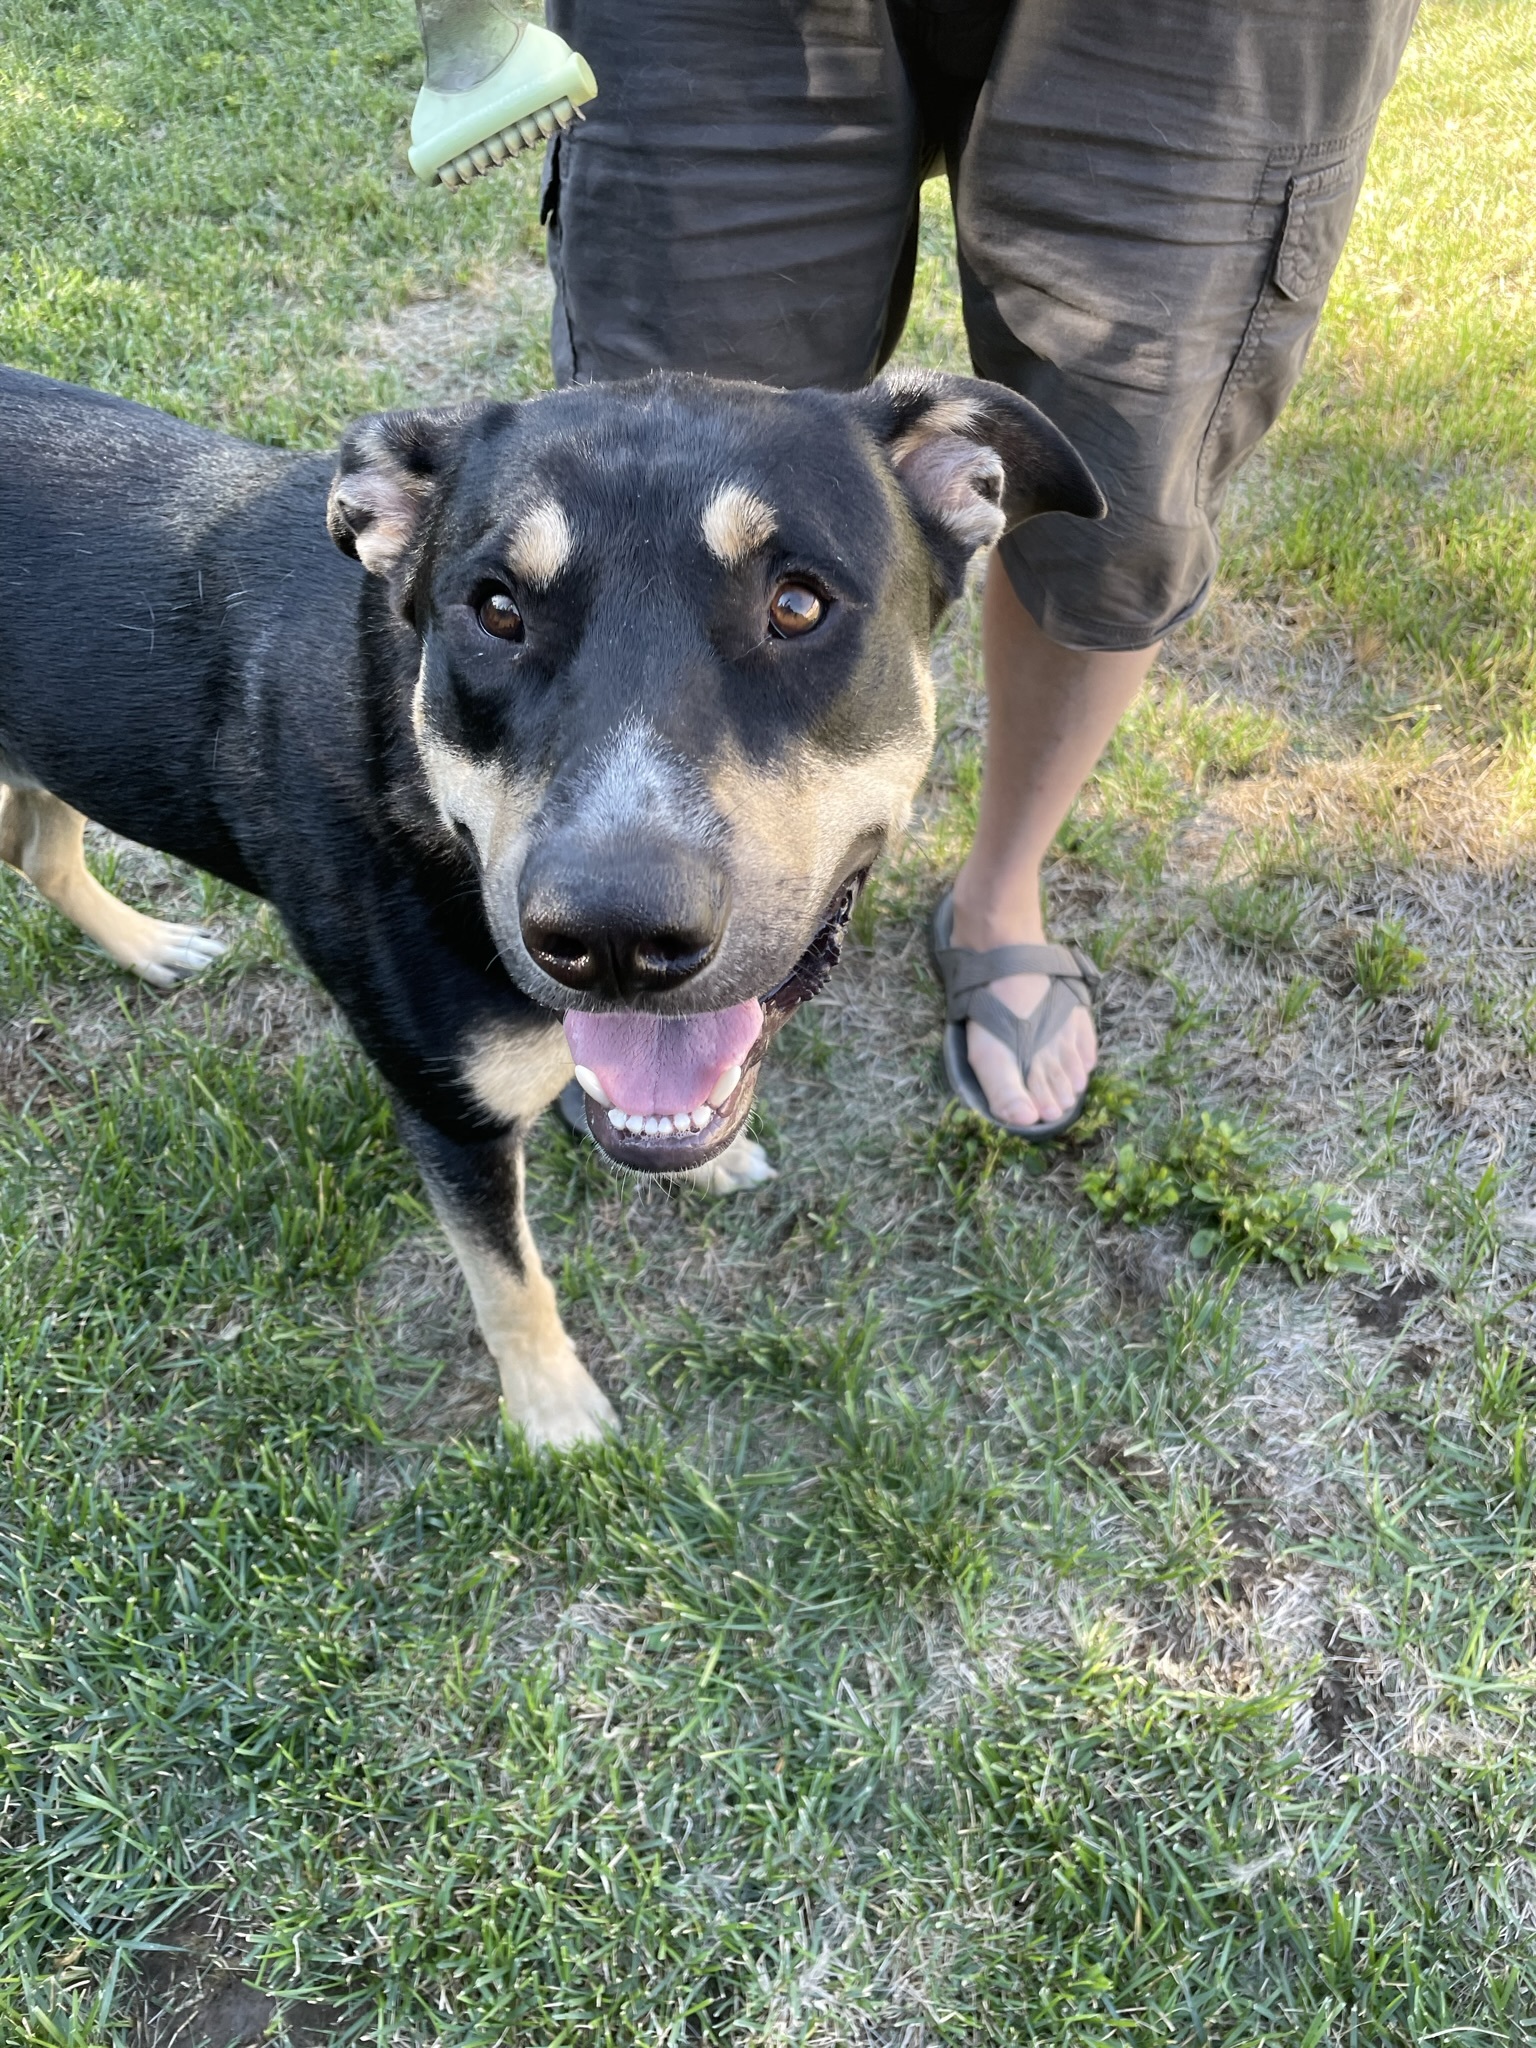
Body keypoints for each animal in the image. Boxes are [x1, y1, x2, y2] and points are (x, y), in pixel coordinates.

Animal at [3, 360, 1105, 1449]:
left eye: (798, 606)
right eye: (495, 610)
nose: (615, 937)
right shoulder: (448, 1114)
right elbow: (508, 1282)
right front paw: (554, 1412)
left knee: (36, 847)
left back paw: (147, 944)